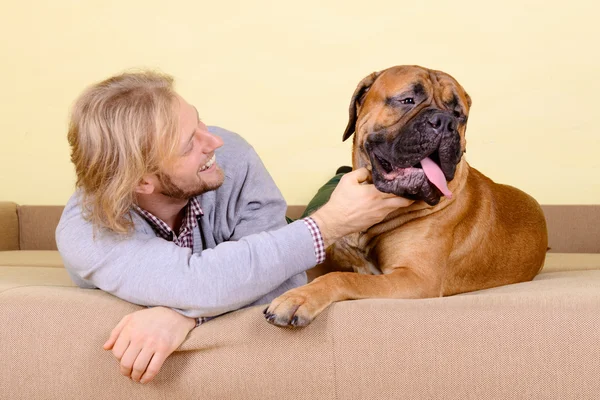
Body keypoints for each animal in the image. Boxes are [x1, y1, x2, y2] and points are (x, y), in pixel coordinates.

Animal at [264, 66, 548, 328]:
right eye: (407, 100)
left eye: (459, 115)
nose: (445, 122)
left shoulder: (416, 278)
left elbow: (345, 277)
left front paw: (299, 298)